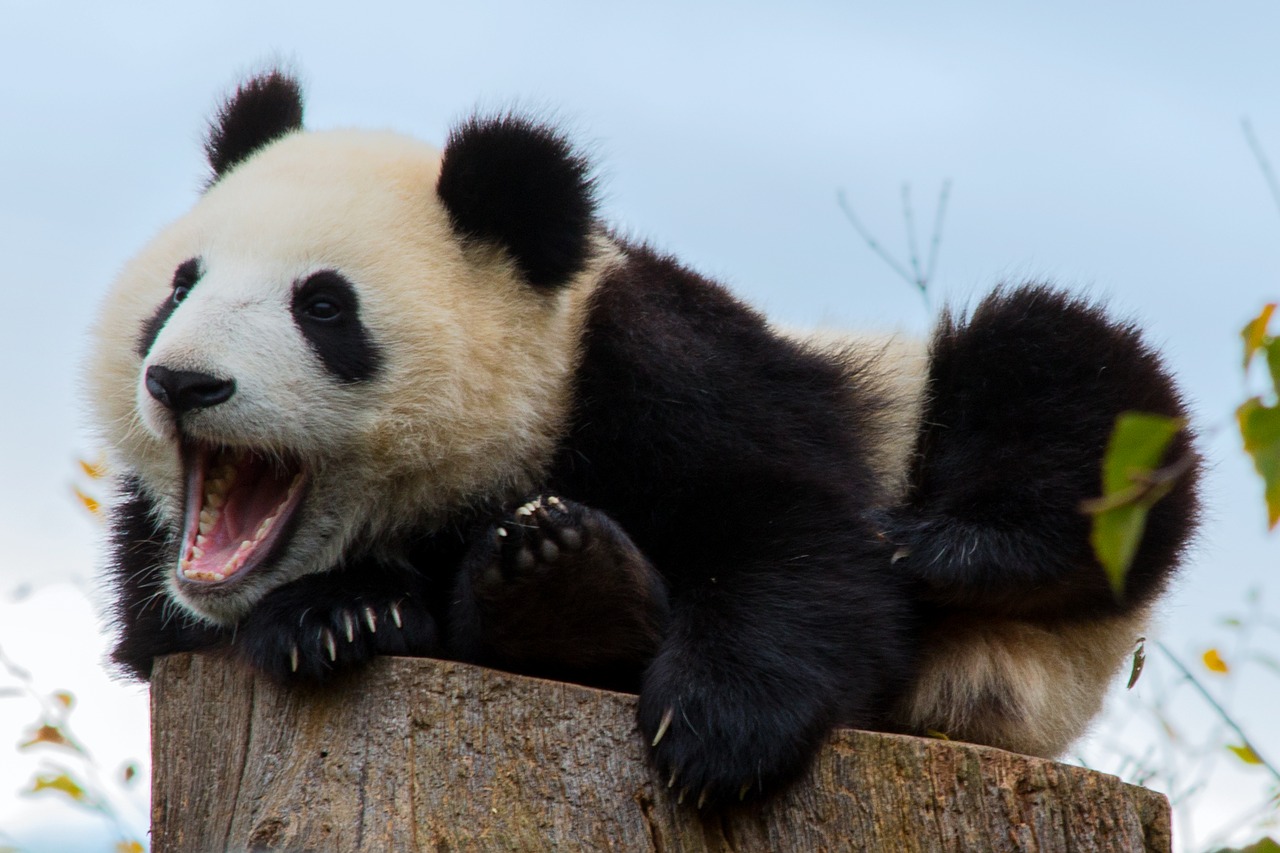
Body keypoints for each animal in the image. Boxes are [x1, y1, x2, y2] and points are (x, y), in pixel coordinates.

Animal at [90, 71, 1198, 804]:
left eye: (322, 306)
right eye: (180, 287)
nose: (182, 382)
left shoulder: (658, 365)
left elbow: (800, 533)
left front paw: (714, 725)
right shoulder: (155, 563)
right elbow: (163, 628)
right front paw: (345, 614)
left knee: (1063, 376)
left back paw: (952, 546)